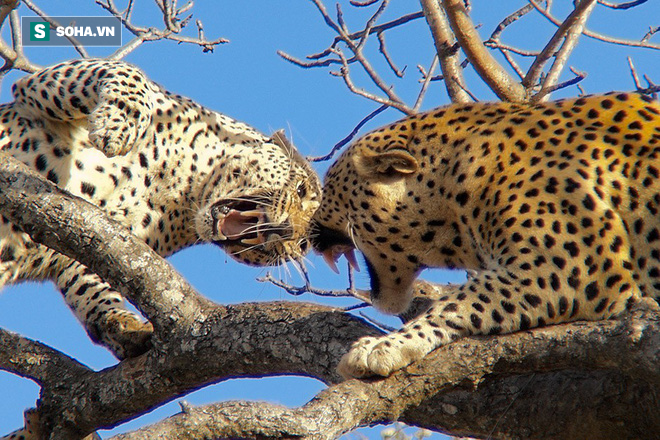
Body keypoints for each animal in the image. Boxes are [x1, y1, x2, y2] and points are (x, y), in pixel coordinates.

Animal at [0, 58, 320, 360]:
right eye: (301, 190)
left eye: (304, 244)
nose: (290, 232)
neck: (181, 188)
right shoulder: (33, 86)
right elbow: (125, 71)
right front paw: (116, 125)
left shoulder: (101, 239)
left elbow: (91, 285)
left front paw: (126, 326)